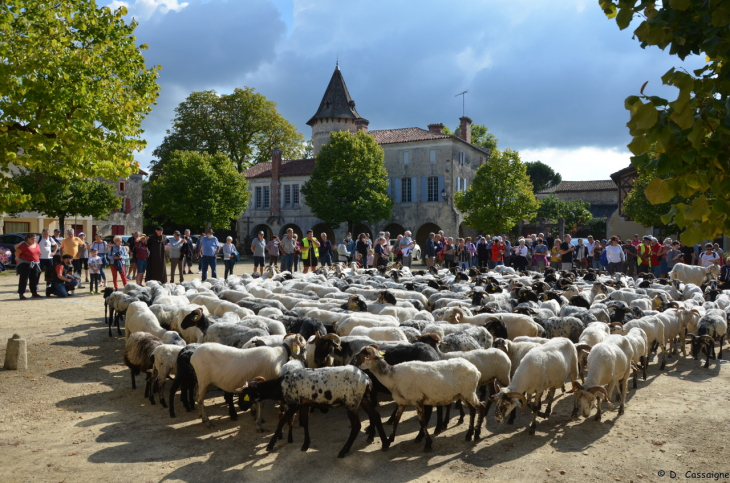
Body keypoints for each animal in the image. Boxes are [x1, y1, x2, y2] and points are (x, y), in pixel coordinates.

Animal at [236, 366, 390, 458]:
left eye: (245, 394)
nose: (241, 407)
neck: (279, 386)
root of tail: (366, 378)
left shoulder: (294, 403)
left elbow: (282, 422)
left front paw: (270, 445)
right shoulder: (304, 404)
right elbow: (305, 423)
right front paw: (305, 444)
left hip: (351, 401)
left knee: (357, 425)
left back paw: (343, 451)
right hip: (362, 397)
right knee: (375, 415)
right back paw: (385, 444)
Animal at [352, 346, 484, 452]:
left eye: (361, 356)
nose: (353, 365)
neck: (391, 376)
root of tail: (476, 370)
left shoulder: (417, 400)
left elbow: (422, 422)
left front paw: (428, 444)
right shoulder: (402, 402)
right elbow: (396, 420)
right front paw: (389, 441)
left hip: (469, 392)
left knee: (481, 407)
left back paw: (477, 434)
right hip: (463, 394)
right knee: (472, 410)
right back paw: (469, 434)